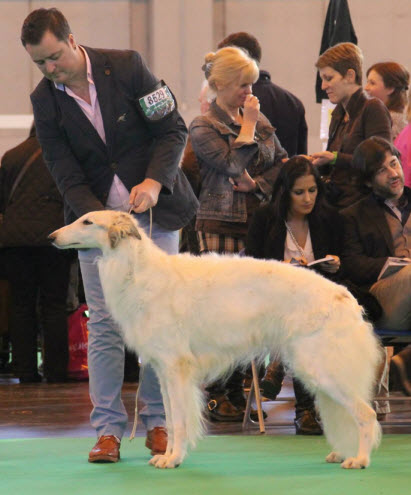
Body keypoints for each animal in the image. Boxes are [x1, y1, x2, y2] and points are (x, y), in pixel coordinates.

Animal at [50, 211, 384, 470]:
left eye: (87, 221)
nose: (52, 237)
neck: (138, 270)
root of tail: (346, 298)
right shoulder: (163, 371)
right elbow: (170, 420)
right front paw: (167, 455)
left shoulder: (176, 368)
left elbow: (180, 421)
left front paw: (173, 459)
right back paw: (341, 452)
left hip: (321, 369)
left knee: (366, 414)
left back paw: (360, 459)